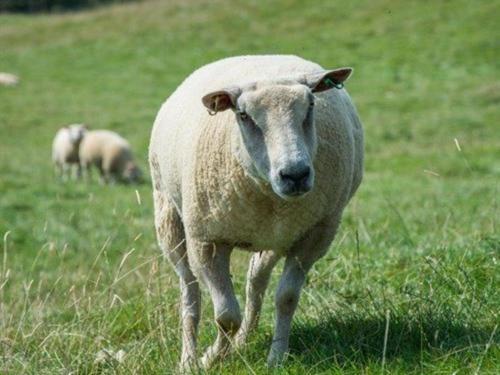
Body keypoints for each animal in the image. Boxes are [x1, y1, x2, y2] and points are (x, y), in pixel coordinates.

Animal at [148, 54, 364, 372]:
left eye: (311, 104)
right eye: (243, 115)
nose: (295, 175)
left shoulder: (314, 236)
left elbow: (286, 298)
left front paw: (276, 358)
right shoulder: (207, 242)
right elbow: (226, 315)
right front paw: (210, 358)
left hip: (275, 237)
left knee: (256, 281)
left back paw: (242, 341)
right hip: (168, 214)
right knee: (189, 290)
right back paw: (188, 359)